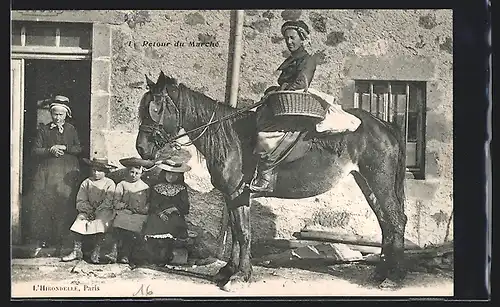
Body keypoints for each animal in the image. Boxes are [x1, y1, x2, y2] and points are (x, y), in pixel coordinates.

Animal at [135, 71, 408, 292]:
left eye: (155, 109)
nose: (141, 149)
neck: (232, 138)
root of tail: (384, 124)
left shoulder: (238, 195)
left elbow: (243, 234)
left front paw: (240, 276)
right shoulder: (234, 198)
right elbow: (236, 233)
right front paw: (229, 271)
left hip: (379, 181)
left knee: (396, 221)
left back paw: (393, 277)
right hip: (367, 183)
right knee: (386, 224)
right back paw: (381, 273)